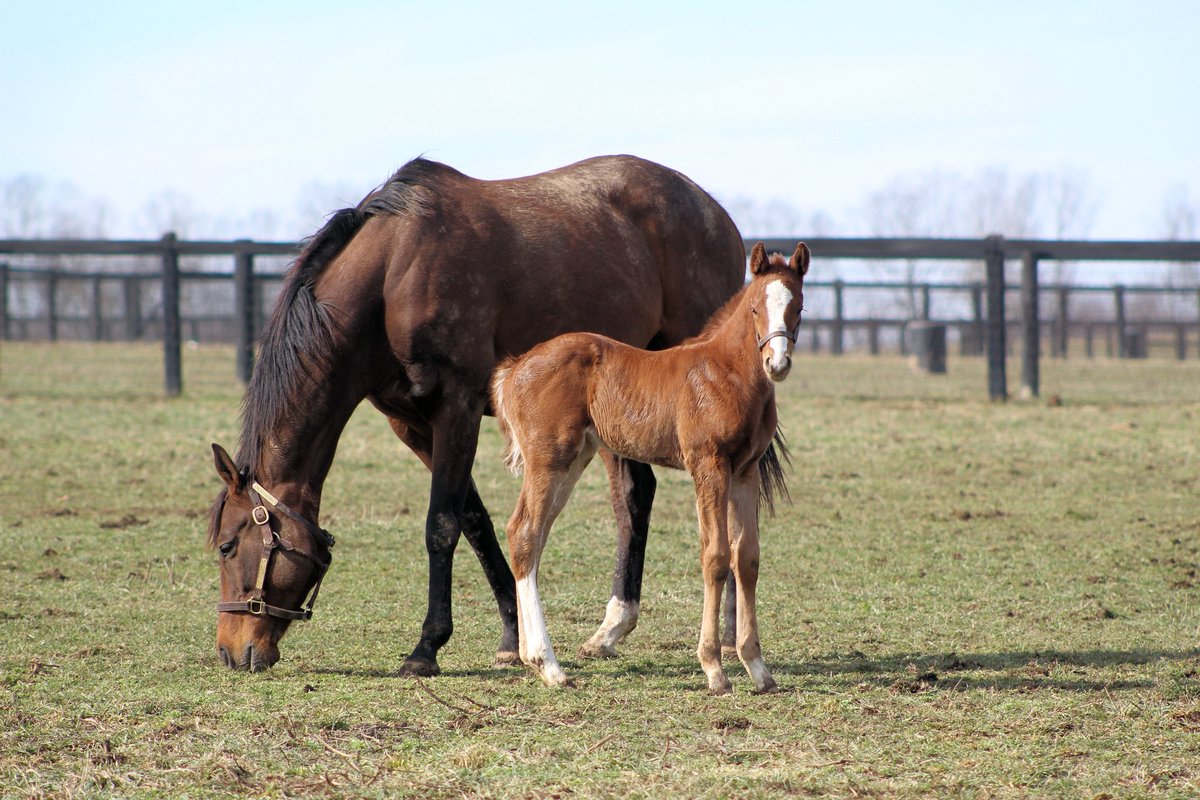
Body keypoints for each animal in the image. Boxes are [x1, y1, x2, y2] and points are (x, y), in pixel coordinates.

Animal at [206, 155, 747, 674]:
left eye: (228, 546)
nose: (231, 652)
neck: (394, 273)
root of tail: (713, 210)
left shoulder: (457, 408)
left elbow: (441, 525)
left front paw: (426, 648)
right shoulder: (411, 424)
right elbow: (475, 521)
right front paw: (511, 635)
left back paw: (728, 632)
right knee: (635, 496)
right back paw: (612, 629)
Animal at [492, 241, 808, 694]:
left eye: (798, 306)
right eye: (754, 308)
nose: (777, 364)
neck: (724, 373)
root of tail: (515, 367)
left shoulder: (745, 471)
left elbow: (746, 558)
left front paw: (758, 668)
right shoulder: (708, 465)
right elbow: (716, 556)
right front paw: (714, 669)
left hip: (573, 459)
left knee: (531, 537)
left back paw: (532, 658)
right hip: (548, 458)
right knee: (524, 534)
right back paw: (549, 665)